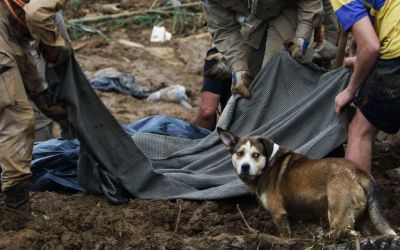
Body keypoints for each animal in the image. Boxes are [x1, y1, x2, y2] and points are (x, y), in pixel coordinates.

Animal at [219, 128, 396, 237]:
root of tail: (359, 171)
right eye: (240, 153)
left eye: (256, 155)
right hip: (360, 216)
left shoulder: (279, 213)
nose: (245, 167)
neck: (269, 163)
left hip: (337, 211)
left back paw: (325, 236)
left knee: (343, 231)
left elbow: (285, 236)